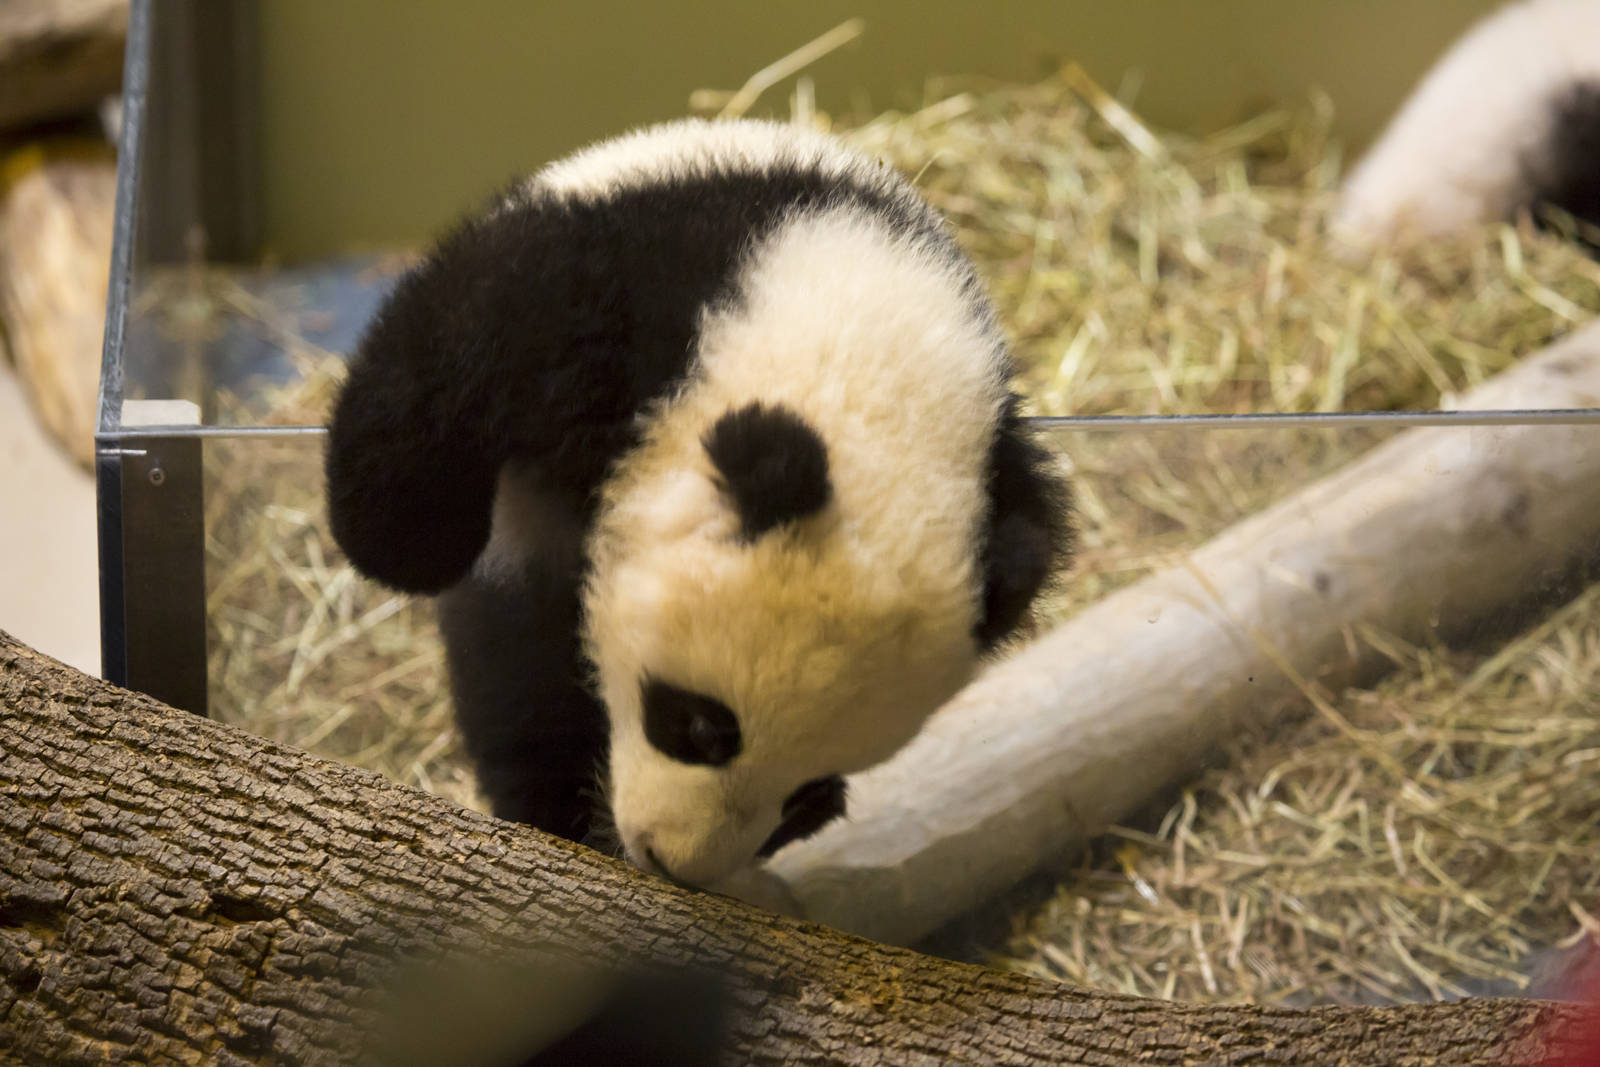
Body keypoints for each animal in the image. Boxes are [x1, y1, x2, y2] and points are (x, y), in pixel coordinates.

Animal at [324, 117, 1071, 890]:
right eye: (700, 725)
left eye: (802, 789)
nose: (673, 860)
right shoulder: (630, 284)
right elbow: (473, 333)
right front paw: (408, 538)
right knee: (517, 675)